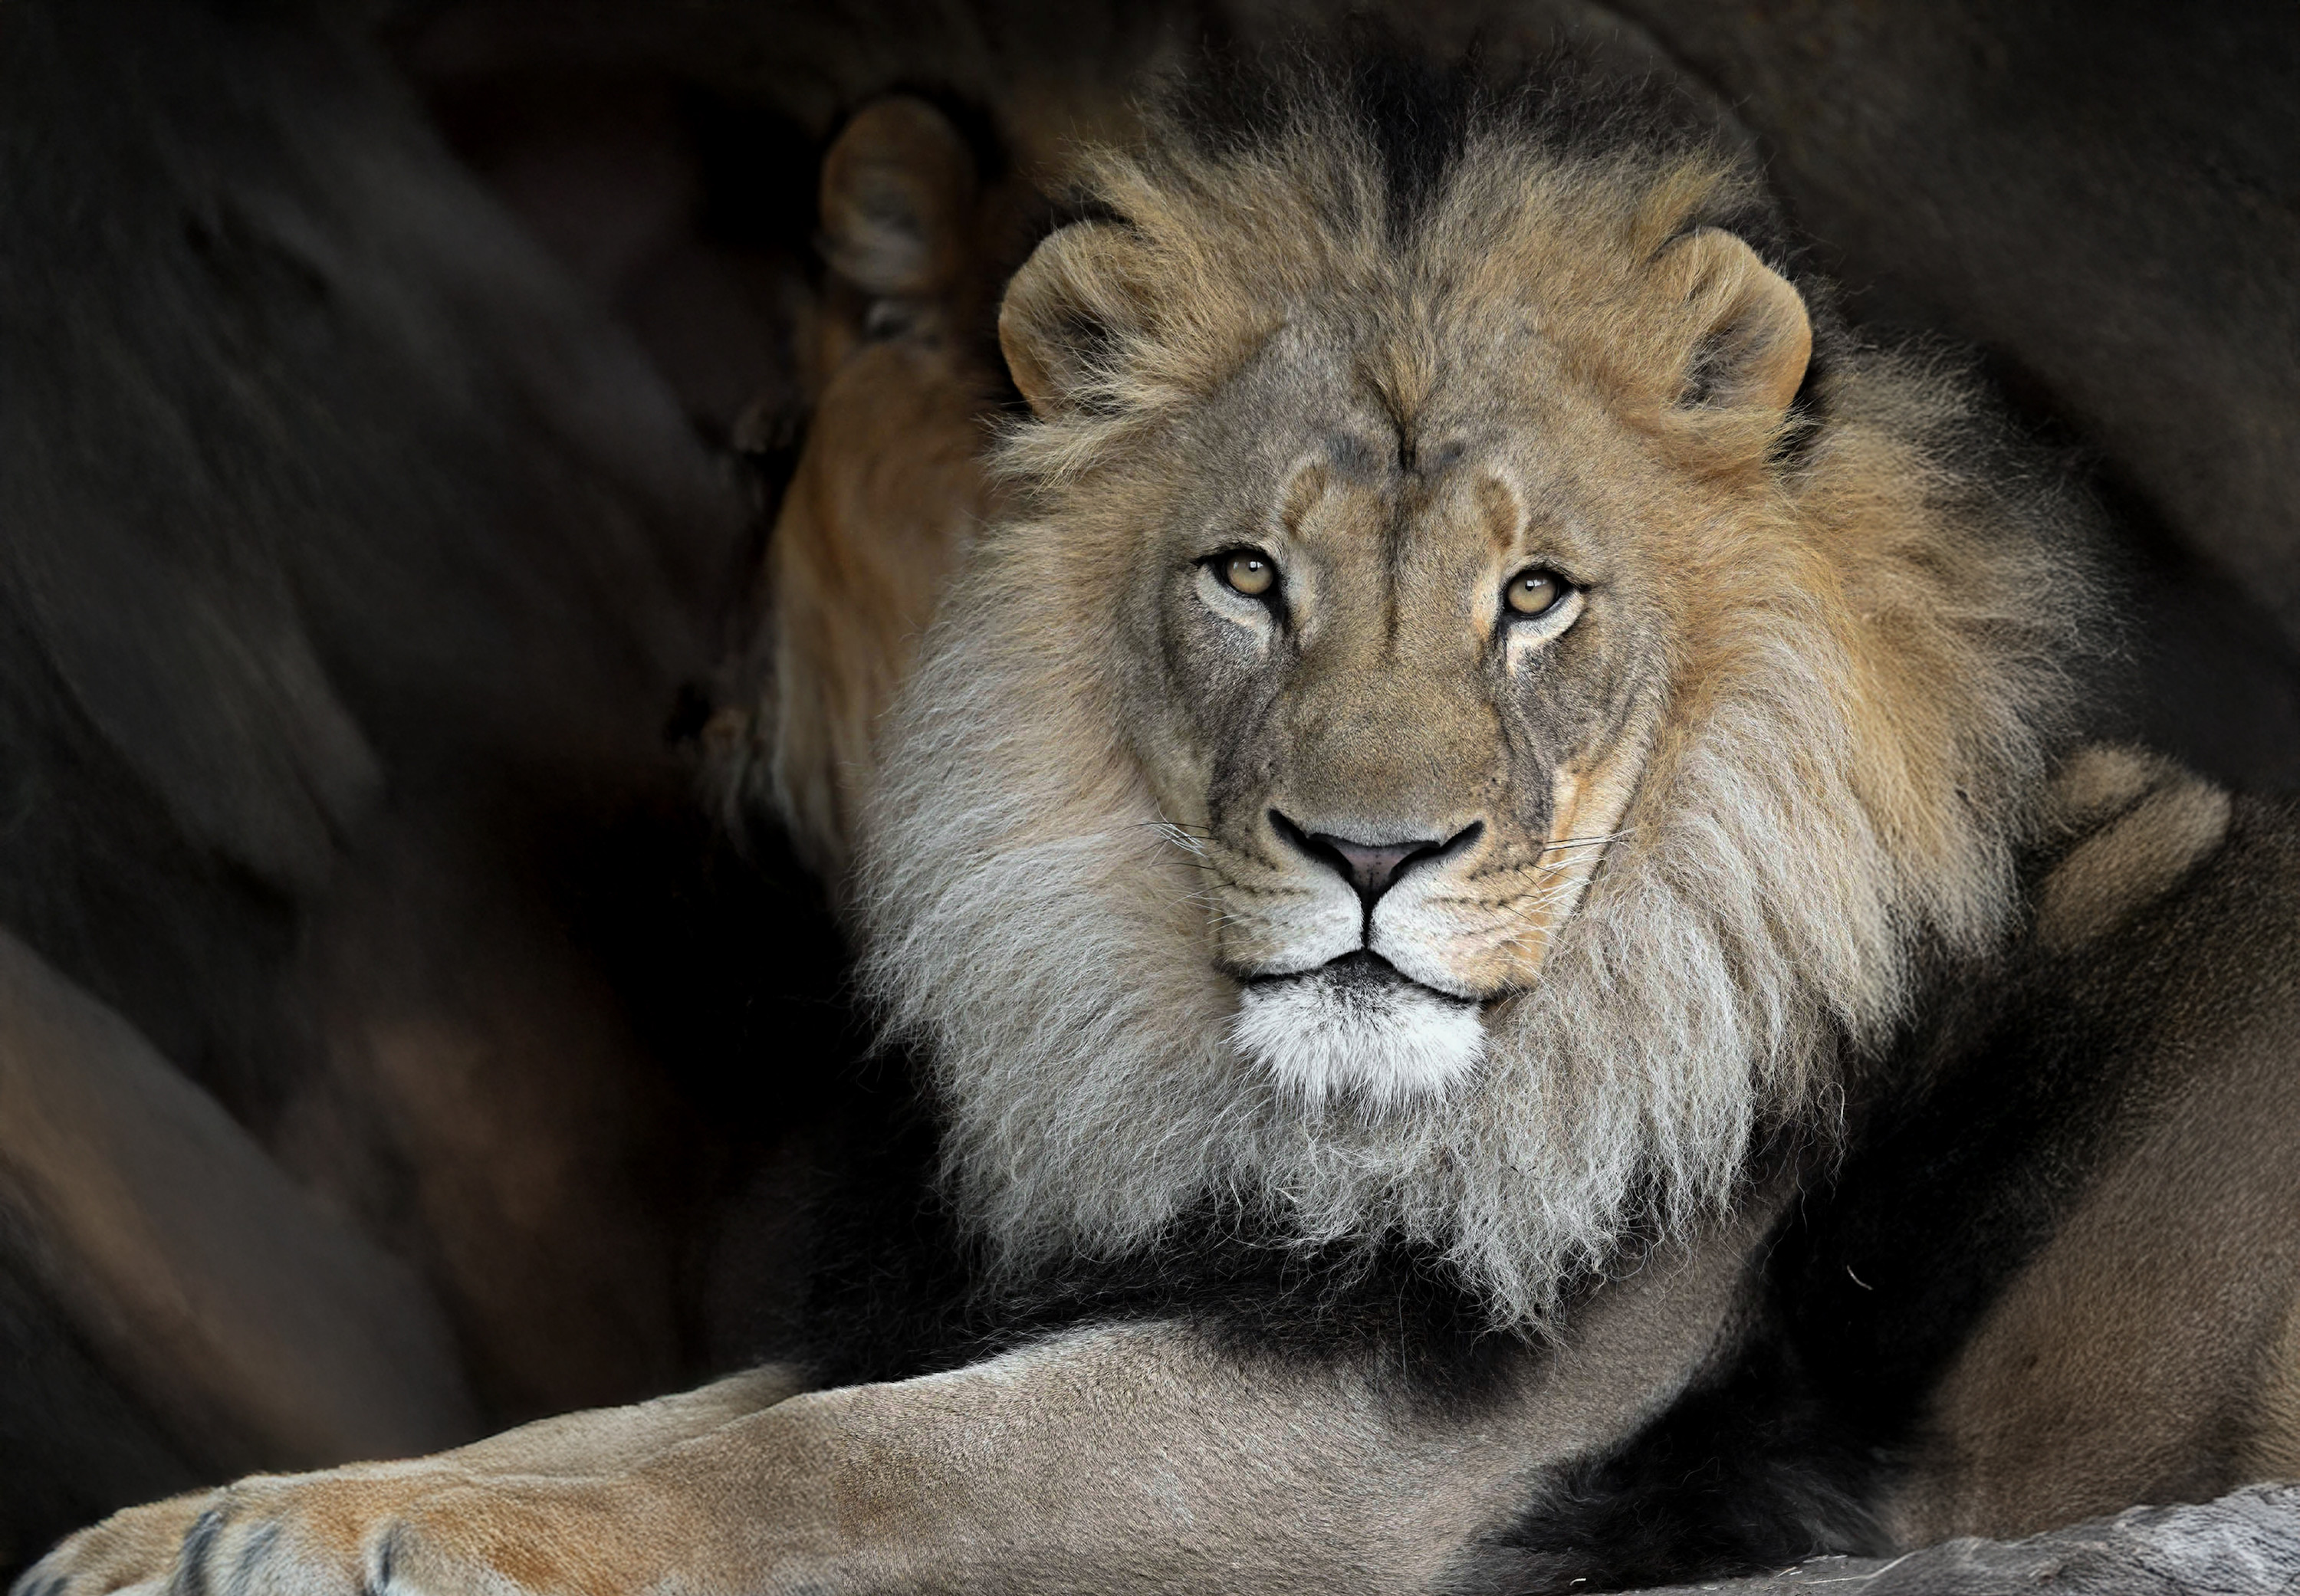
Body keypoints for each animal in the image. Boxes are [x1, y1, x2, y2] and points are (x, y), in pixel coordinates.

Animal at [23, 49, 2300, 1596]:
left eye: (1534, 596)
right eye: (1246, 578)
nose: (1370, 855)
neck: (1218, 1078)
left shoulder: (1377, 1443)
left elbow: (839, 1461)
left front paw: (414, 1540)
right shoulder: (1068, 1281)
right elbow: (651, 1406)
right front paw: (199, 1516)